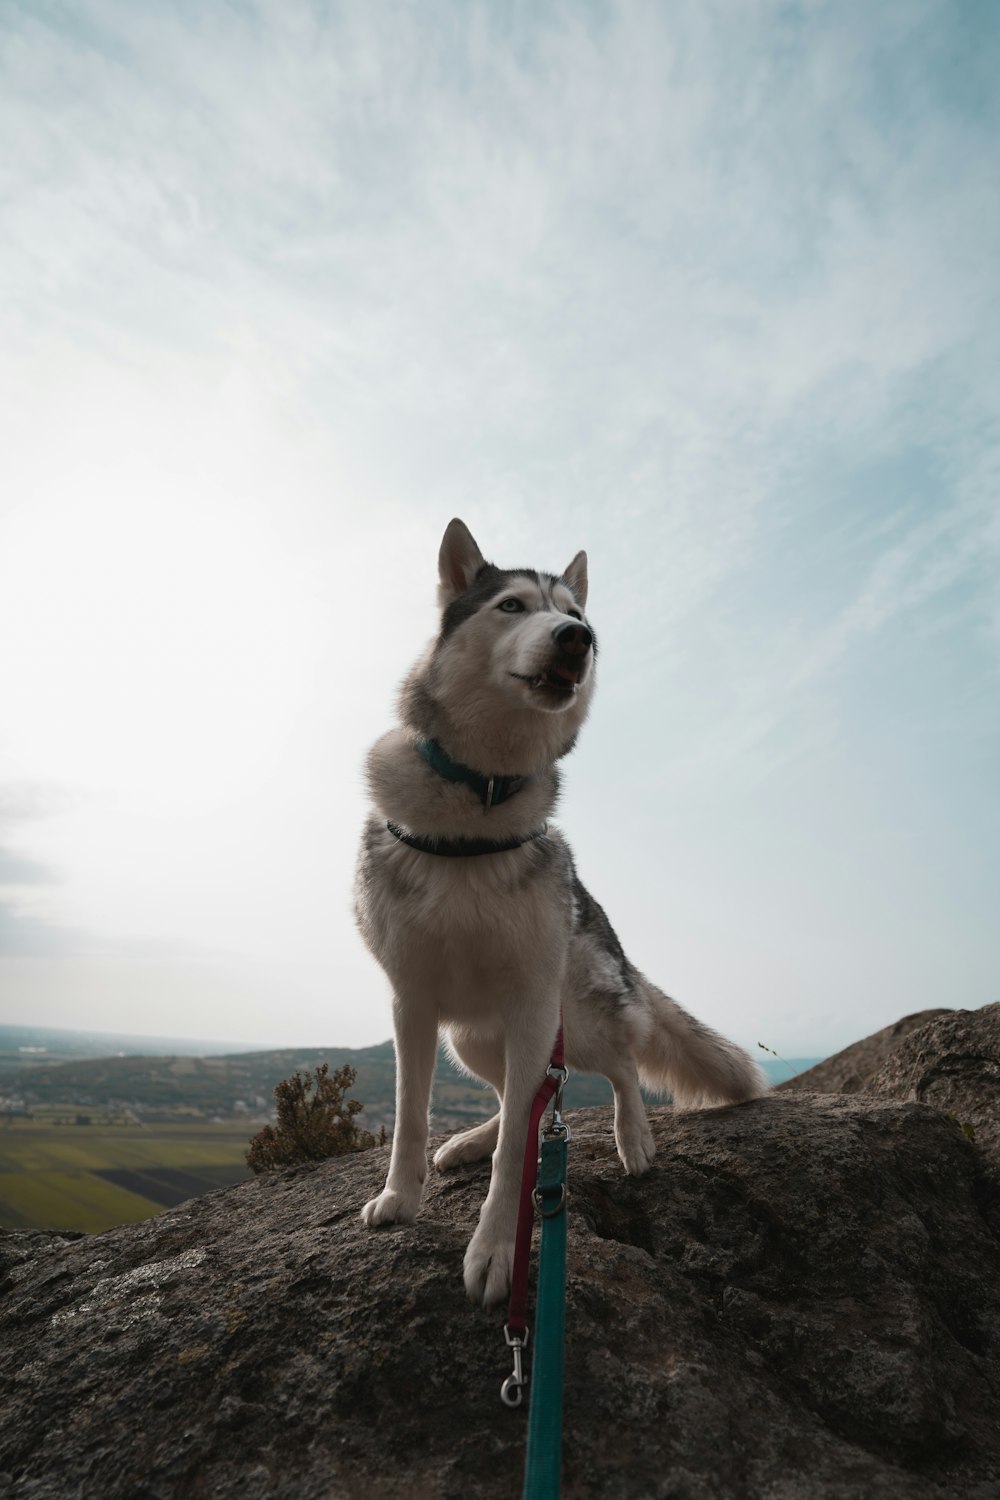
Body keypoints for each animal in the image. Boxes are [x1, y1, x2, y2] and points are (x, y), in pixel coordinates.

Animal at [359, 519, 767, 1302]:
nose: (579, 637)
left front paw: (496, 1250)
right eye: (512, 606)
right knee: (515, 1097)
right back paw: (470, 1139)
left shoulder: (530, 1003)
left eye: (575, 614)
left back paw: (633, 1135)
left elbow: (522, 1149)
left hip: (570, 1020)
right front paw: (401, 1195)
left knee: (615, 1069)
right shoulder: (410, 1001)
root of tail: (619, 951)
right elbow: (410, 1115)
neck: (478, 802)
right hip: (474, 1040)